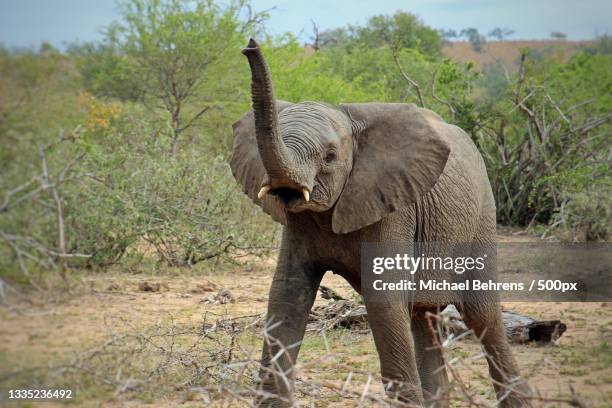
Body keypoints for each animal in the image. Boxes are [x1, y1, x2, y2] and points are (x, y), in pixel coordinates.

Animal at [230, 39, 532, 408]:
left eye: (330, 157)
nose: (250, 45)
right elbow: (287, 294)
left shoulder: (394, 209)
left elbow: (384, 302)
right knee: (423, 316)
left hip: (482, 219)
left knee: (483, 317)